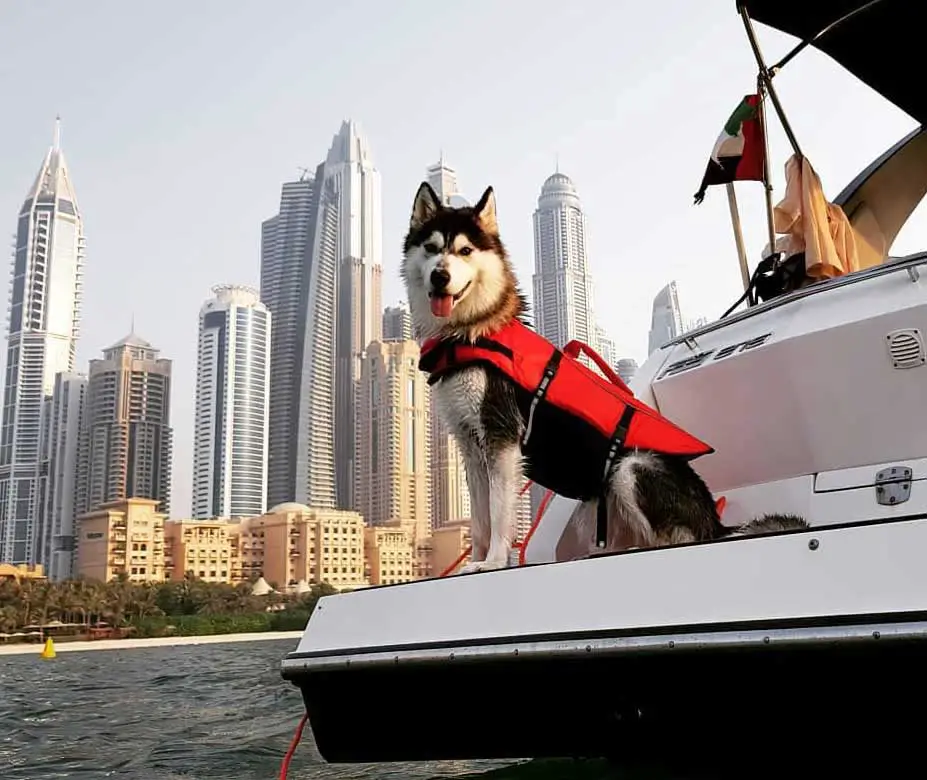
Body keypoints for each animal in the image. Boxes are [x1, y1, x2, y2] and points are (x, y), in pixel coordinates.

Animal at [402, 183, 808, 572]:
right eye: (432, 248)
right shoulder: (472, 445)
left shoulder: (501, 438)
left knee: (672, 541)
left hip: (630, 469)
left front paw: (495, 561)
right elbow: (480, 518)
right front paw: (476, 560)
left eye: (465, 250)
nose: (440, 276)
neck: (470, 331)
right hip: (592, 505)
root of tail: (715, 521)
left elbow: (500, 512)